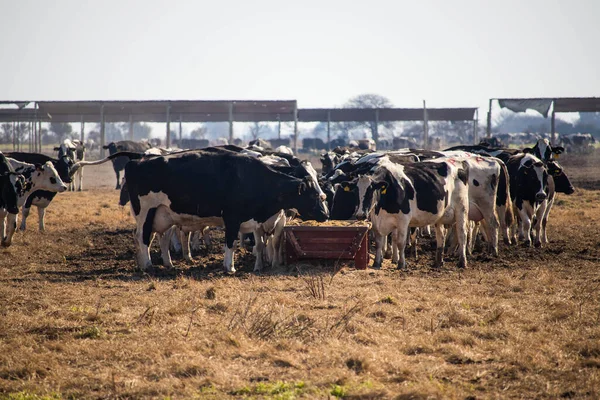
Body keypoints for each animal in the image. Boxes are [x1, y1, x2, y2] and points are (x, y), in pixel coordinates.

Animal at [125, 149, 328, 272]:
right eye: (312, 195)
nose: (326, 213)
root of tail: (138, 160)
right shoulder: (232, 217)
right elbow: (230, 242)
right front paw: (229, 267)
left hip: (162, 215)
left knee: (156, 238)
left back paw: (163, 264)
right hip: (146, 212)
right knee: (142, 237)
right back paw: (148, 265)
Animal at [340, 156, 472, 268]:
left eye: (371, 191)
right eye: (355, 192)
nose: (360, 215)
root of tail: (458, 161)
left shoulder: (403, 219)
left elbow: (400, 242)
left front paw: (401, 264)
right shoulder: (377, 220)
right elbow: (379, 242)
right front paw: (377, 263)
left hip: (462, 209)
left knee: (462, 234)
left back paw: (462, 262)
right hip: (440, 215)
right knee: (441, 236)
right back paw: (438, 262)